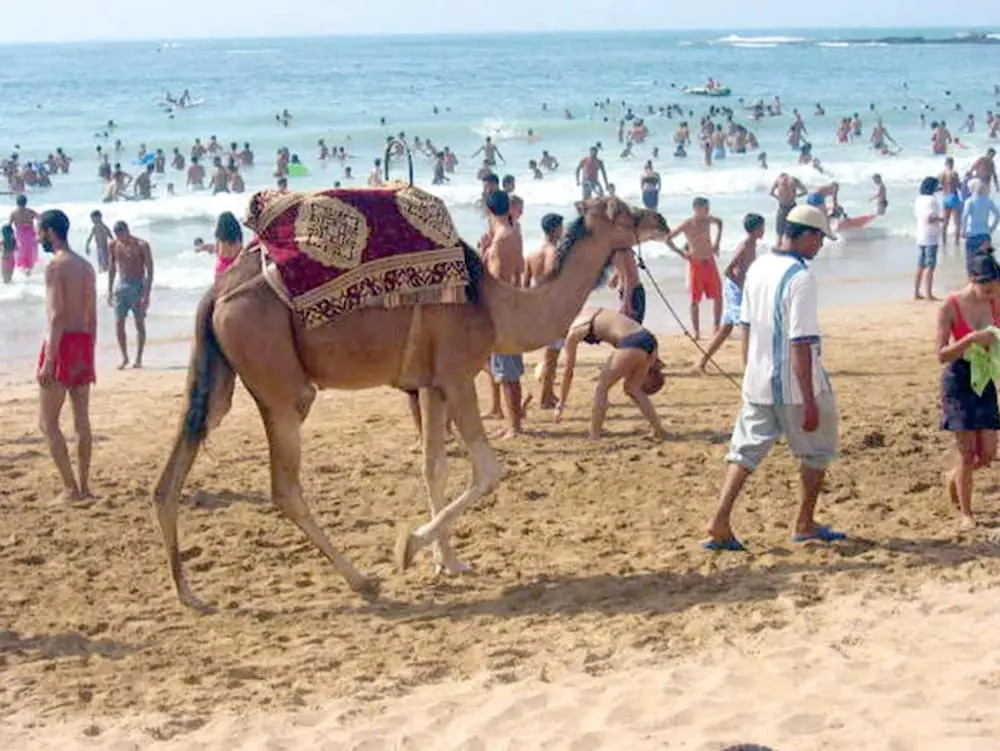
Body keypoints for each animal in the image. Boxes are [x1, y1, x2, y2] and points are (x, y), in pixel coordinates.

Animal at [151, 194, 667, 611]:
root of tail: (217, 294)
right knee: (284, 487)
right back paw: (363, 581)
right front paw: (409, 547)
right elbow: (487, 469)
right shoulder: (458, 375)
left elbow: (433, 468)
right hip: (279, 385)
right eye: (623, 211)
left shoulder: (431, 383)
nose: (659, 218)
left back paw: (188, 593)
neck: (497, 308)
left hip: (219, 373)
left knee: (178, 462)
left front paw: (449, 562)